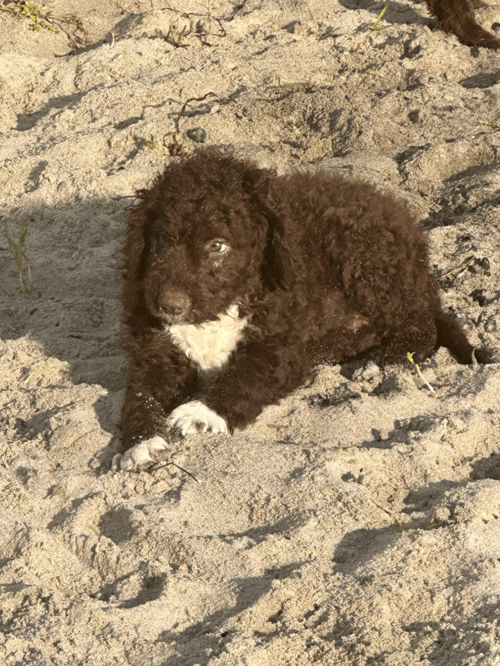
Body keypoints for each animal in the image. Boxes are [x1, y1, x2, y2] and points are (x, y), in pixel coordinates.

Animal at [116, 149, 496, 472]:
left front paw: (201, 411)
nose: (169, 305)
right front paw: (141, 441)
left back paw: (381, 359)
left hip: (367, 262)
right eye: (162, 241)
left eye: (218, 245)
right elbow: (141, 393)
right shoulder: (155, 353)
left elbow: (244, 375)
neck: (219, 312)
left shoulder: (278, 347)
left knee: (421, 326)